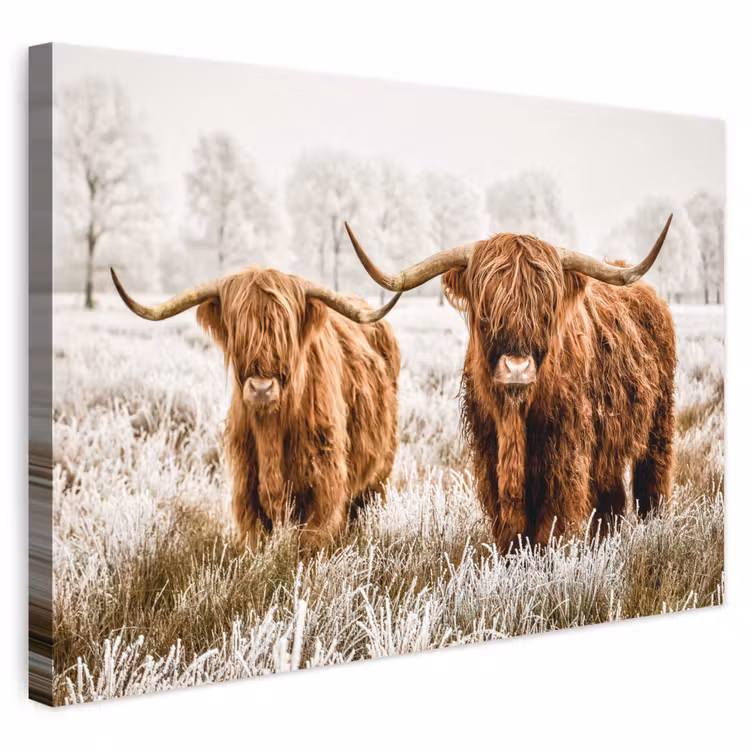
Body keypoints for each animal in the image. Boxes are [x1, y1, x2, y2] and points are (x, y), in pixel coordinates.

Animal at [111, 267, 402, 551]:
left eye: (286, 331)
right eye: (238, 329)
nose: (261, 389)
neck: (270, 431)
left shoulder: (324, 486)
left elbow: (310, 544)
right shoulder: (246, 490)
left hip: (380, 475)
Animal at [344, 217, 676, 552]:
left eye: (547, 311)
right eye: (486, 310)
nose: (517, 368)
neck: (514, 415)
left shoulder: (564, 452)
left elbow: (551, 519)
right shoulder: (489, 450)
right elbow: (508, 521)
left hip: (659, 422)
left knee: (652, 480)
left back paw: (653, 529)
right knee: (612, 496)